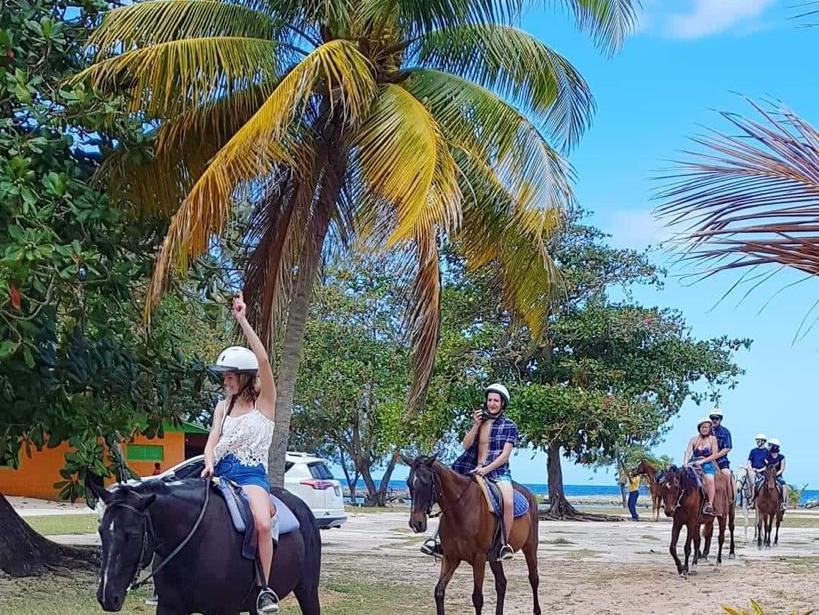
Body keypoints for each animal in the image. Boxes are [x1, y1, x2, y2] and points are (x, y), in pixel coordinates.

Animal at [89, 482, 320, 615]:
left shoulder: (224, 611)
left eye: (133, 535)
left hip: (307, 591)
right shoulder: (169, 608)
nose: (107, 596)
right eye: (101, 530)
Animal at [406, 454, 544, 612]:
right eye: (409, 484)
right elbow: (439, 591)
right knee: (501, 584)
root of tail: (530, 494)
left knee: (533, 578)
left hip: (530, 548)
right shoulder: (450, 558)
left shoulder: (479, 559)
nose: (416, 523)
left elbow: (477, 598)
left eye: (426, 483)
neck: (461, 509)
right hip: (494, 558)